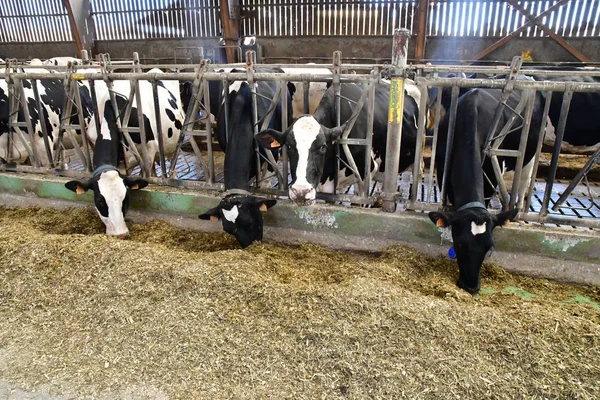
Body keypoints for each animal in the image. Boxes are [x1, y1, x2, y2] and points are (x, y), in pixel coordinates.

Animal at [428, 86, 548, 294]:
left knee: (523, 183)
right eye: (459, 243)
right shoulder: (443, 172)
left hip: (531, 155)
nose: (471, 286)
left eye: (489, 248)